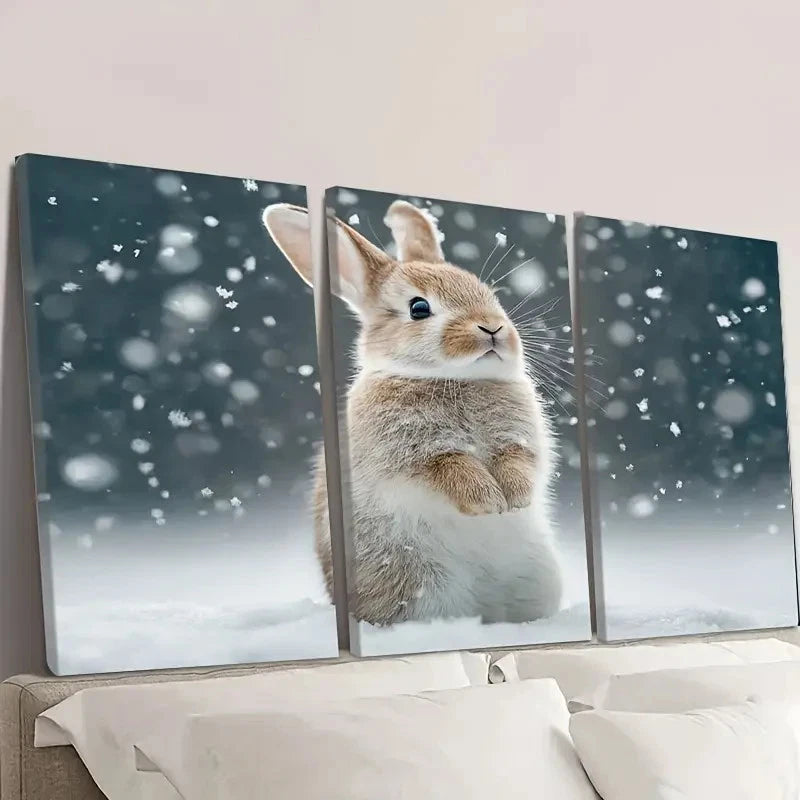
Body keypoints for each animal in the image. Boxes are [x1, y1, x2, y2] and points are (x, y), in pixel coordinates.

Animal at [262, 198, 563, 626]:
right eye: (419, 308)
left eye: (489, 294)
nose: (492, 328)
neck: (451, 378)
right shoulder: (412, 457)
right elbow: (451, 470)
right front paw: (489, 502)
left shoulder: (519, 439)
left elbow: (519, 462)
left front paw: (514, 500)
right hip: (420, 585)